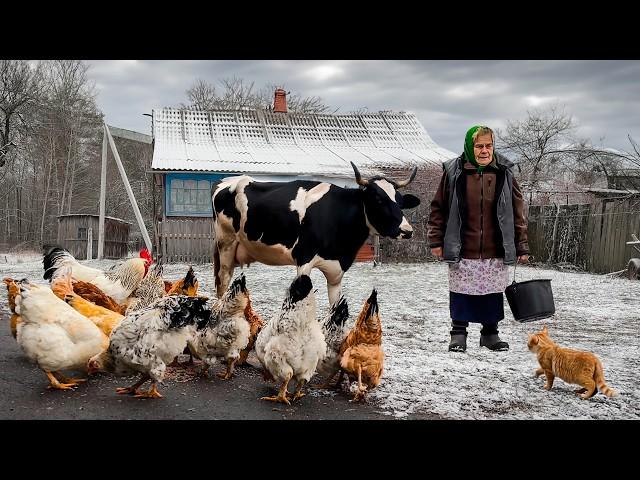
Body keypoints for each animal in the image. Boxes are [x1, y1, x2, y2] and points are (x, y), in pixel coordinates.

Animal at [210, 161, 420, 304]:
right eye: (378, 199)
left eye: (400, 201)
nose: (407, 230)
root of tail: (228, 181)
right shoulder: (304, 260)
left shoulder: (337, 270)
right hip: (226, 244)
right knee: (223, 282)